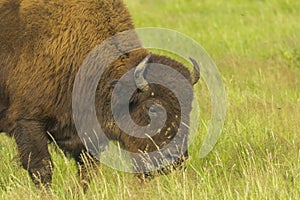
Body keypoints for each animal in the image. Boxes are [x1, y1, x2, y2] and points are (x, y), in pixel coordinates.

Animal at [1, 0, 200, 188]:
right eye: (152, 109)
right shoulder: (29, 122)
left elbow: (87, 171)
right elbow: (42, 169)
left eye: (189, 108)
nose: (175, 160)